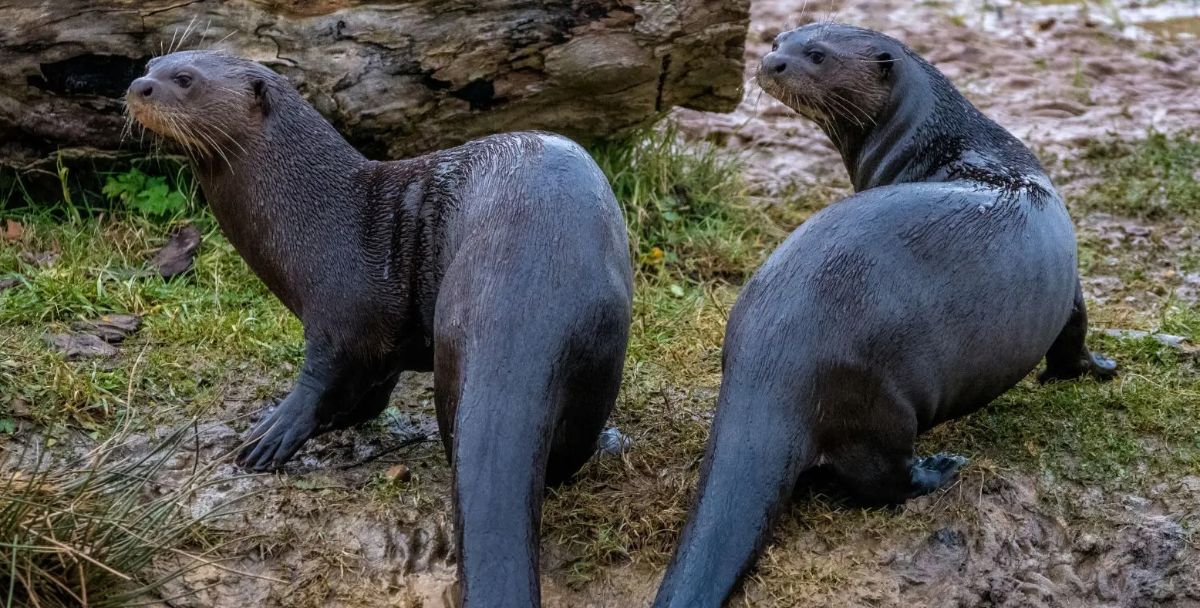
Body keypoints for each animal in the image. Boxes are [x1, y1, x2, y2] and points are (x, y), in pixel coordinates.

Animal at [126, 50, 633, 607]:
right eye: (153, 63)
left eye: (184, 80)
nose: (137, 87)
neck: (316, 215)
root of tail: (524, 299)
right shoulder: (383, 346)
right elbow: (369, 389)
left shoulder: (340, 316)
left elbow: (321, 378)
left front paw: (271, 434)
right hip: (602, 345)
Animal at [652, 24, 1115, 607]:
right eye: (778, 38)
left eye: (815, 54)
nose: (771, 62)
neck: (966, 144)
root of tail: (772, 362)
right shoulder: (1069, 283)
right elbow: (1074, 330)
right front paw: (1094, 369)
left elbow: (1074, 333)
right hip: (880, 400)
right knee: (879, 479)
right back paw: (939, 469)